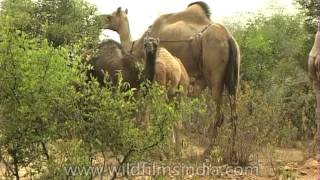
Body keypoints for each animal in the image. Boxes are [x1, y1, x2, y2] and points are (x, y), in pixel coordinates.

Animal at [102, 1, 240, 150]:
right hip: (234, 75)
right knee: (234, 113)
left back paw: (208, 150)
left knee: (219, 115)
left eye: (109, 16)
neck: (136, 45)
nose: (101, 21)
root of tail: (229, 38)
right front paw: (172, 143)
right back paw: (232, 151)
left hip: (214, 73)